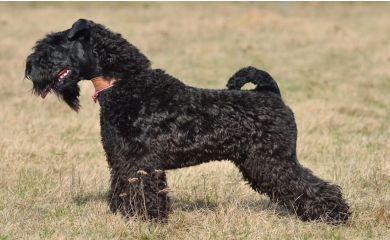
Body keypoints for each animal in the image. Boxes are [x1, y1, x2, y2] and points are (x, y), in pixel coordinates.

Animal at [25, 18, 350, 223]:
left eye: (53, 45)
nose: (29, 68)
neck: (125, 84)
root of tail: (271, 93)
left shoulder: (141, 161)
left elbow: (143, 191)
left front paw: (146, 220)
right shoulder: (121, 160)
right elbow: (122, 188)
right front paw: (125, 217)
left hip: (273, 161)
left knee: (311, 186)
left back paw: (334, 215)